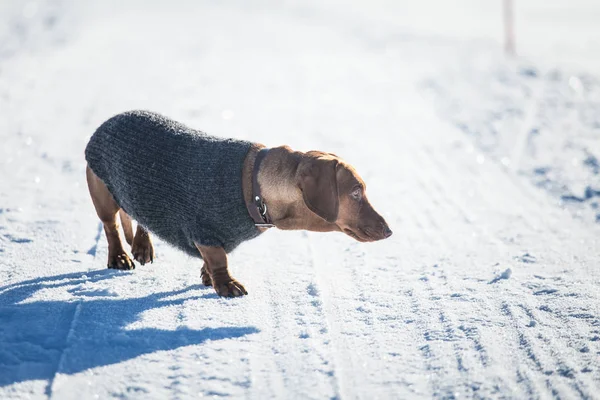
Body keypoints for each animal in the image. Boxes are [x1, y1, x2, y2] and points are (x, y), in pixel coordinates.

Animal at [85, 110, 394, 296]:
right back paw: (120, 257)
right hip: (102, 192)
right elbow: (218, 259)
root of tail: (108, 121)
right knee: (111, 227)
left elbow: (213, 259)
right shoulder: (205, 231)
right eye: (356, 192)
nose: (389, 231)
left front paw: (208, 277)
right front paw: (225, 284)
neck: (255, 187)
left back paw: (142, 246)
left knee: (139, 217)